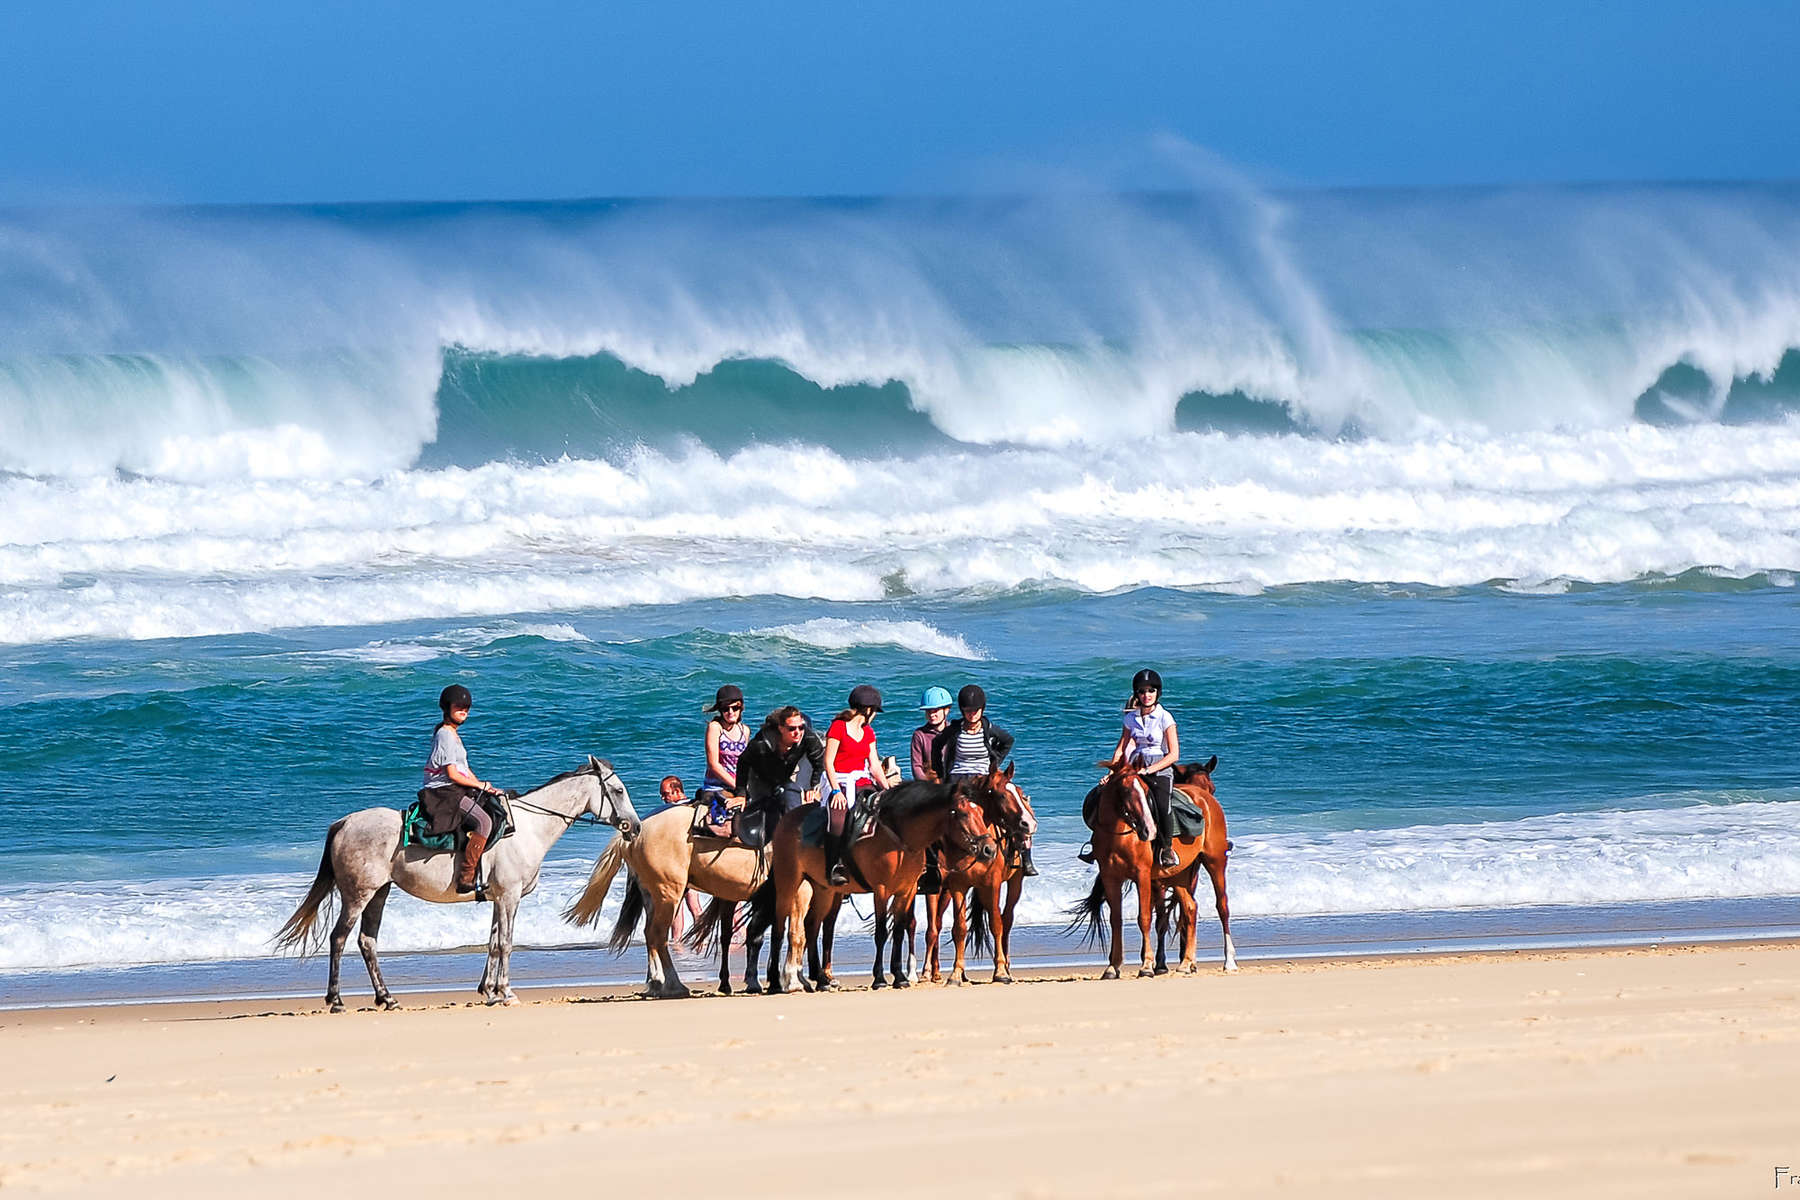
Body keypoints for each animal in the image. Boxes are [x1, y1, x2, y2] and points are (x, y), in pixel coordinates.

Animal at [277, 755, 644, 1007]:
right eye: (618, 790)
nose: (635, 827)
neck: (528, 827)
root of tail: (345, 822)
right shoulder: (509, 896)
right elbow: (506, 942)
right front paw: (506, 992)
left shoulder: (498, 898)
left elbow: (494, 942)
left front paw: (490, 991)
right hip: (358, 894)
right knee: (339, 937)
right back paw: (336, 999)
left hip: (379, 893)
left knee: (367, 942)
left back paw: (386, 997)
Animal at [561, 802, 774, 1000]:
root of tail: (636, 833)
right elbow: (758, 937)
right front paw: (758, 981)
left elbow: (738, 937)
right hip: (670, 894)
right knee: (658, 935)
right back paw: (671, 984)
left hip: (652, 896)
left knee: (650, 934)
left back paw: (656, 983)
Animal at [766, 780, 1008, 993]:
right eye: (964, 814)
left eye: (981, 813)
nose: (989, 849)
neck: (900, 836)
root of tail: (788, 818)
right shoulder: (881, 890)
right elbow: (882, 932)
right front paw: (880, 978)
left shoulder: (906, 890)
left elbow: (899, 931)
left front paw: (900, 977)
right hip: (789, 881)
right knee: (779, 927)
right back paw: (776, 982)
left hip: (823, 888)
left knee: (812, 925)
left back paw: (821, 980)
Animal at [928, 770, 1044, 985]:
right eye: (1002, 795)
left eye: (1019, 792)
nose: (1029, 823)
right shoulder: (958, 886)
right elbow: (959, 928)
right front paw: (956, 973)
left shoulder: (992, 884)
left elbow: (996, 924)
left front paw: (1000, 971)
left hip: (1015, 883)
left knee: (1007, 919)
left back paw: (1007, 966)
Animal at [1065, 759, 1238, 978]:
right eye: (1125, 790)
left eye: (1145, 790)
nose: (1149, 830)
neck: (1119, 835)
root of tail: (1206, 800)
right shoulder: (1111, 877)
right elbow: (1117, 919)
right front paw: (1113, 966)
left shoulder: (1143, 876)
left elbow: (1146, 918)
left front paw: (1147, 965)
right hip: (1180, 875)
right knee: (1190, 908)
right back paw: (1185, 963)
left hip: (1215, 862)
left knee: (1222, 906)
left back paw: (1228, 961)